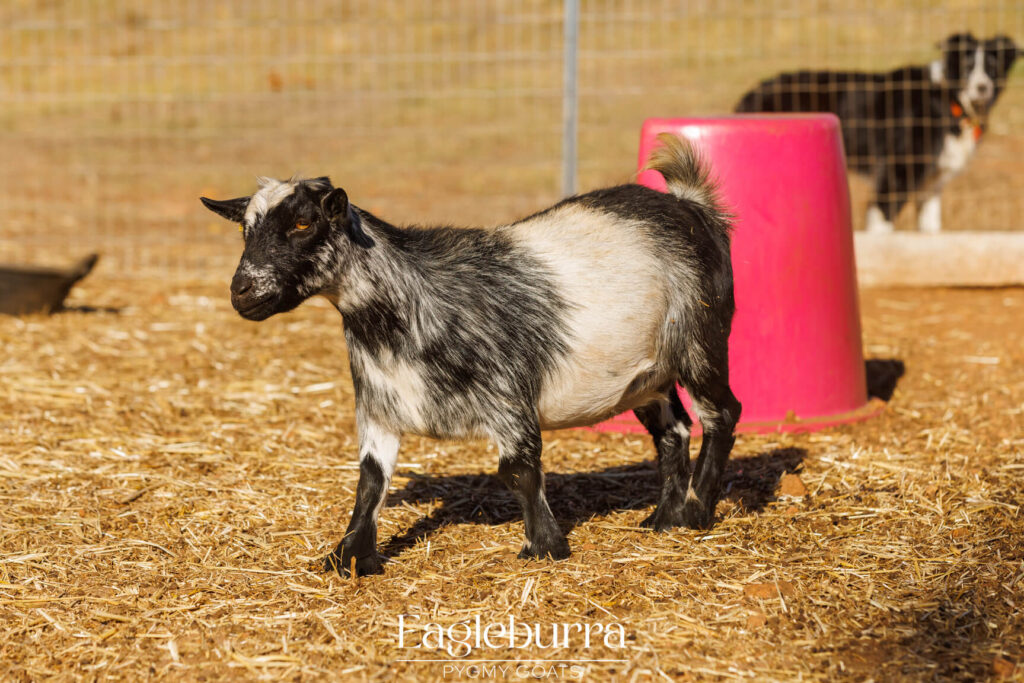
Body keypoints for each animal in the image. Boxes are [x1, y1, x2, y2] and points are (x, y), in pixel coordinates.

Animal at [199, 136, 741, 581]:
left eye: (304, 222)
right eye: (245, 230)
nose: (242, 292)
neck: (410, 303)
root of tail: (690, 204)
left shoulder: (508, 398)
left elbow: (519, 471)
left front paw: (544, 547)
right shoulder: (378, 407)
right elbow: (371, 481)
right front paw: (350, 555)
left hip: (701, 340)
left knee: (722, 412)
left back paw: (697, 511)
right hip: (647, 376)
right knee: (674, 431)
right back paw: (663, 518)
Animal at [737, 34, 1015, 232]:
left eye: (992, 68)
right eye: (967, 67)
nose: (982, 87)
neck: (948, 98)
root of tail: (752, 92)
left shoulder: (931, 185)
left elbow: (930, 229)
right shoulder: (896, 176)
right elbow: (881, 225)